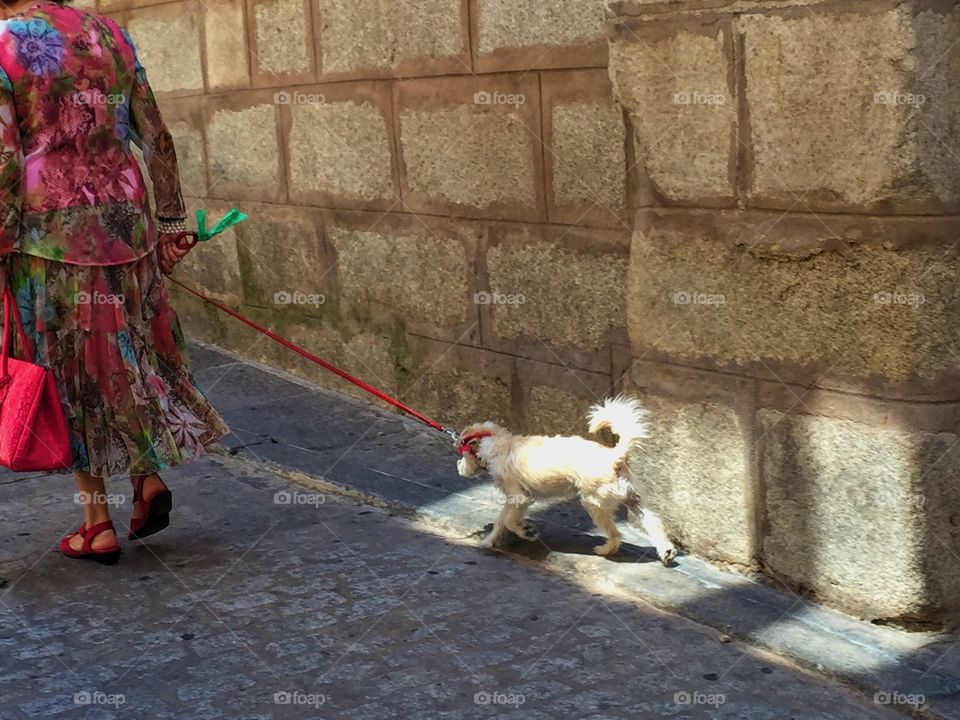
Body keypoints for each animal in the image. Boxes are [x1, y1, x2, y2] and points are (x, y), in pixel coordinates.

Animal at [456, 396, 676, 564]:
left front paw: (525, 531)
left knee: (615, 533)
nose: (459, 467)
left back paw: (606, 550)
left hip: (594, 503)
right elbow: (502, 521)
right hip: (632, 498)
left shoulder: (518, 496)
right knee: (653, 521)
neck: (496, 443)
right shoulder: (520, 499)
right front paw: (490, 540)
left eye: (462, 451)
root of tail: (614, 456)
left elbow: (508, 521)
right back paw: (666, 551)